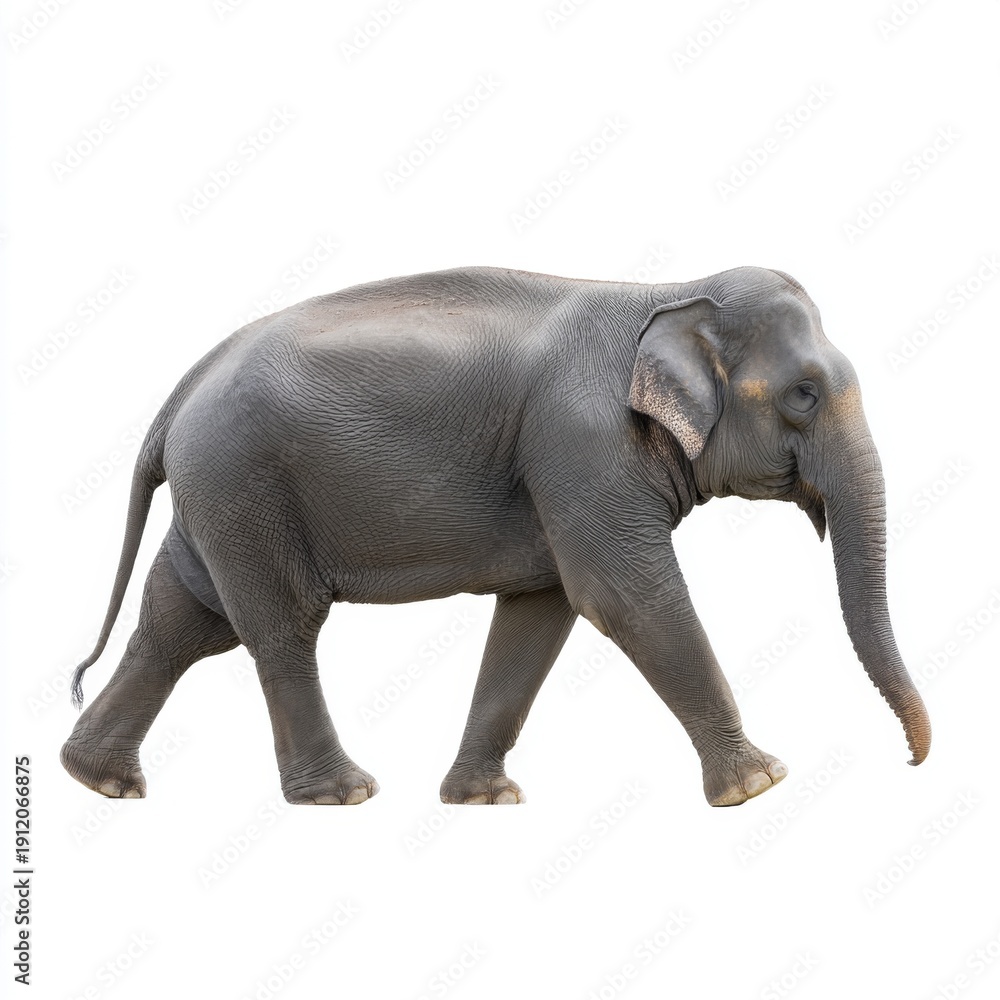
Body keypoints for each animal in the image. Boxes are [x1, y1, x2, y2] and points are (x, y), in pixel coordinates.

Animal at [60, 264, 930, 808]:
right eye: (803, 395)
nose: (913, 760)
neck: (671, 292)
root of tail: (178, 393)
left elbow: (541, 611)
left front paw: (483, 799)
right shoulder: (579, 440)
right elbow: (622, 595)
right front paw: (761, 785)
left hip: (216, 496)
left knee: (181, 623)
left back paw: (98, 781)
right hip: (244, 485)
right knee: (278, 627)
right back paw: (342, 795)